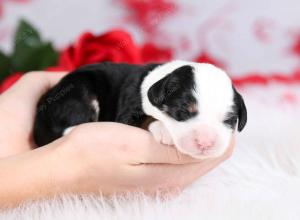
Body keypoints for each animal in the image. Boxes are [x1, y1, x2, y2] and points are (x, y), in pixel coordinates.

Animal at [34, 60, 247, 158]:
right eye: (182, 112)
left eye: (228, 121)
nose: (205, 143)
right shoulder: (128, 114)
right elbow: (146, 118)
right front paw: (163, 129)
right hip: (78, 92)